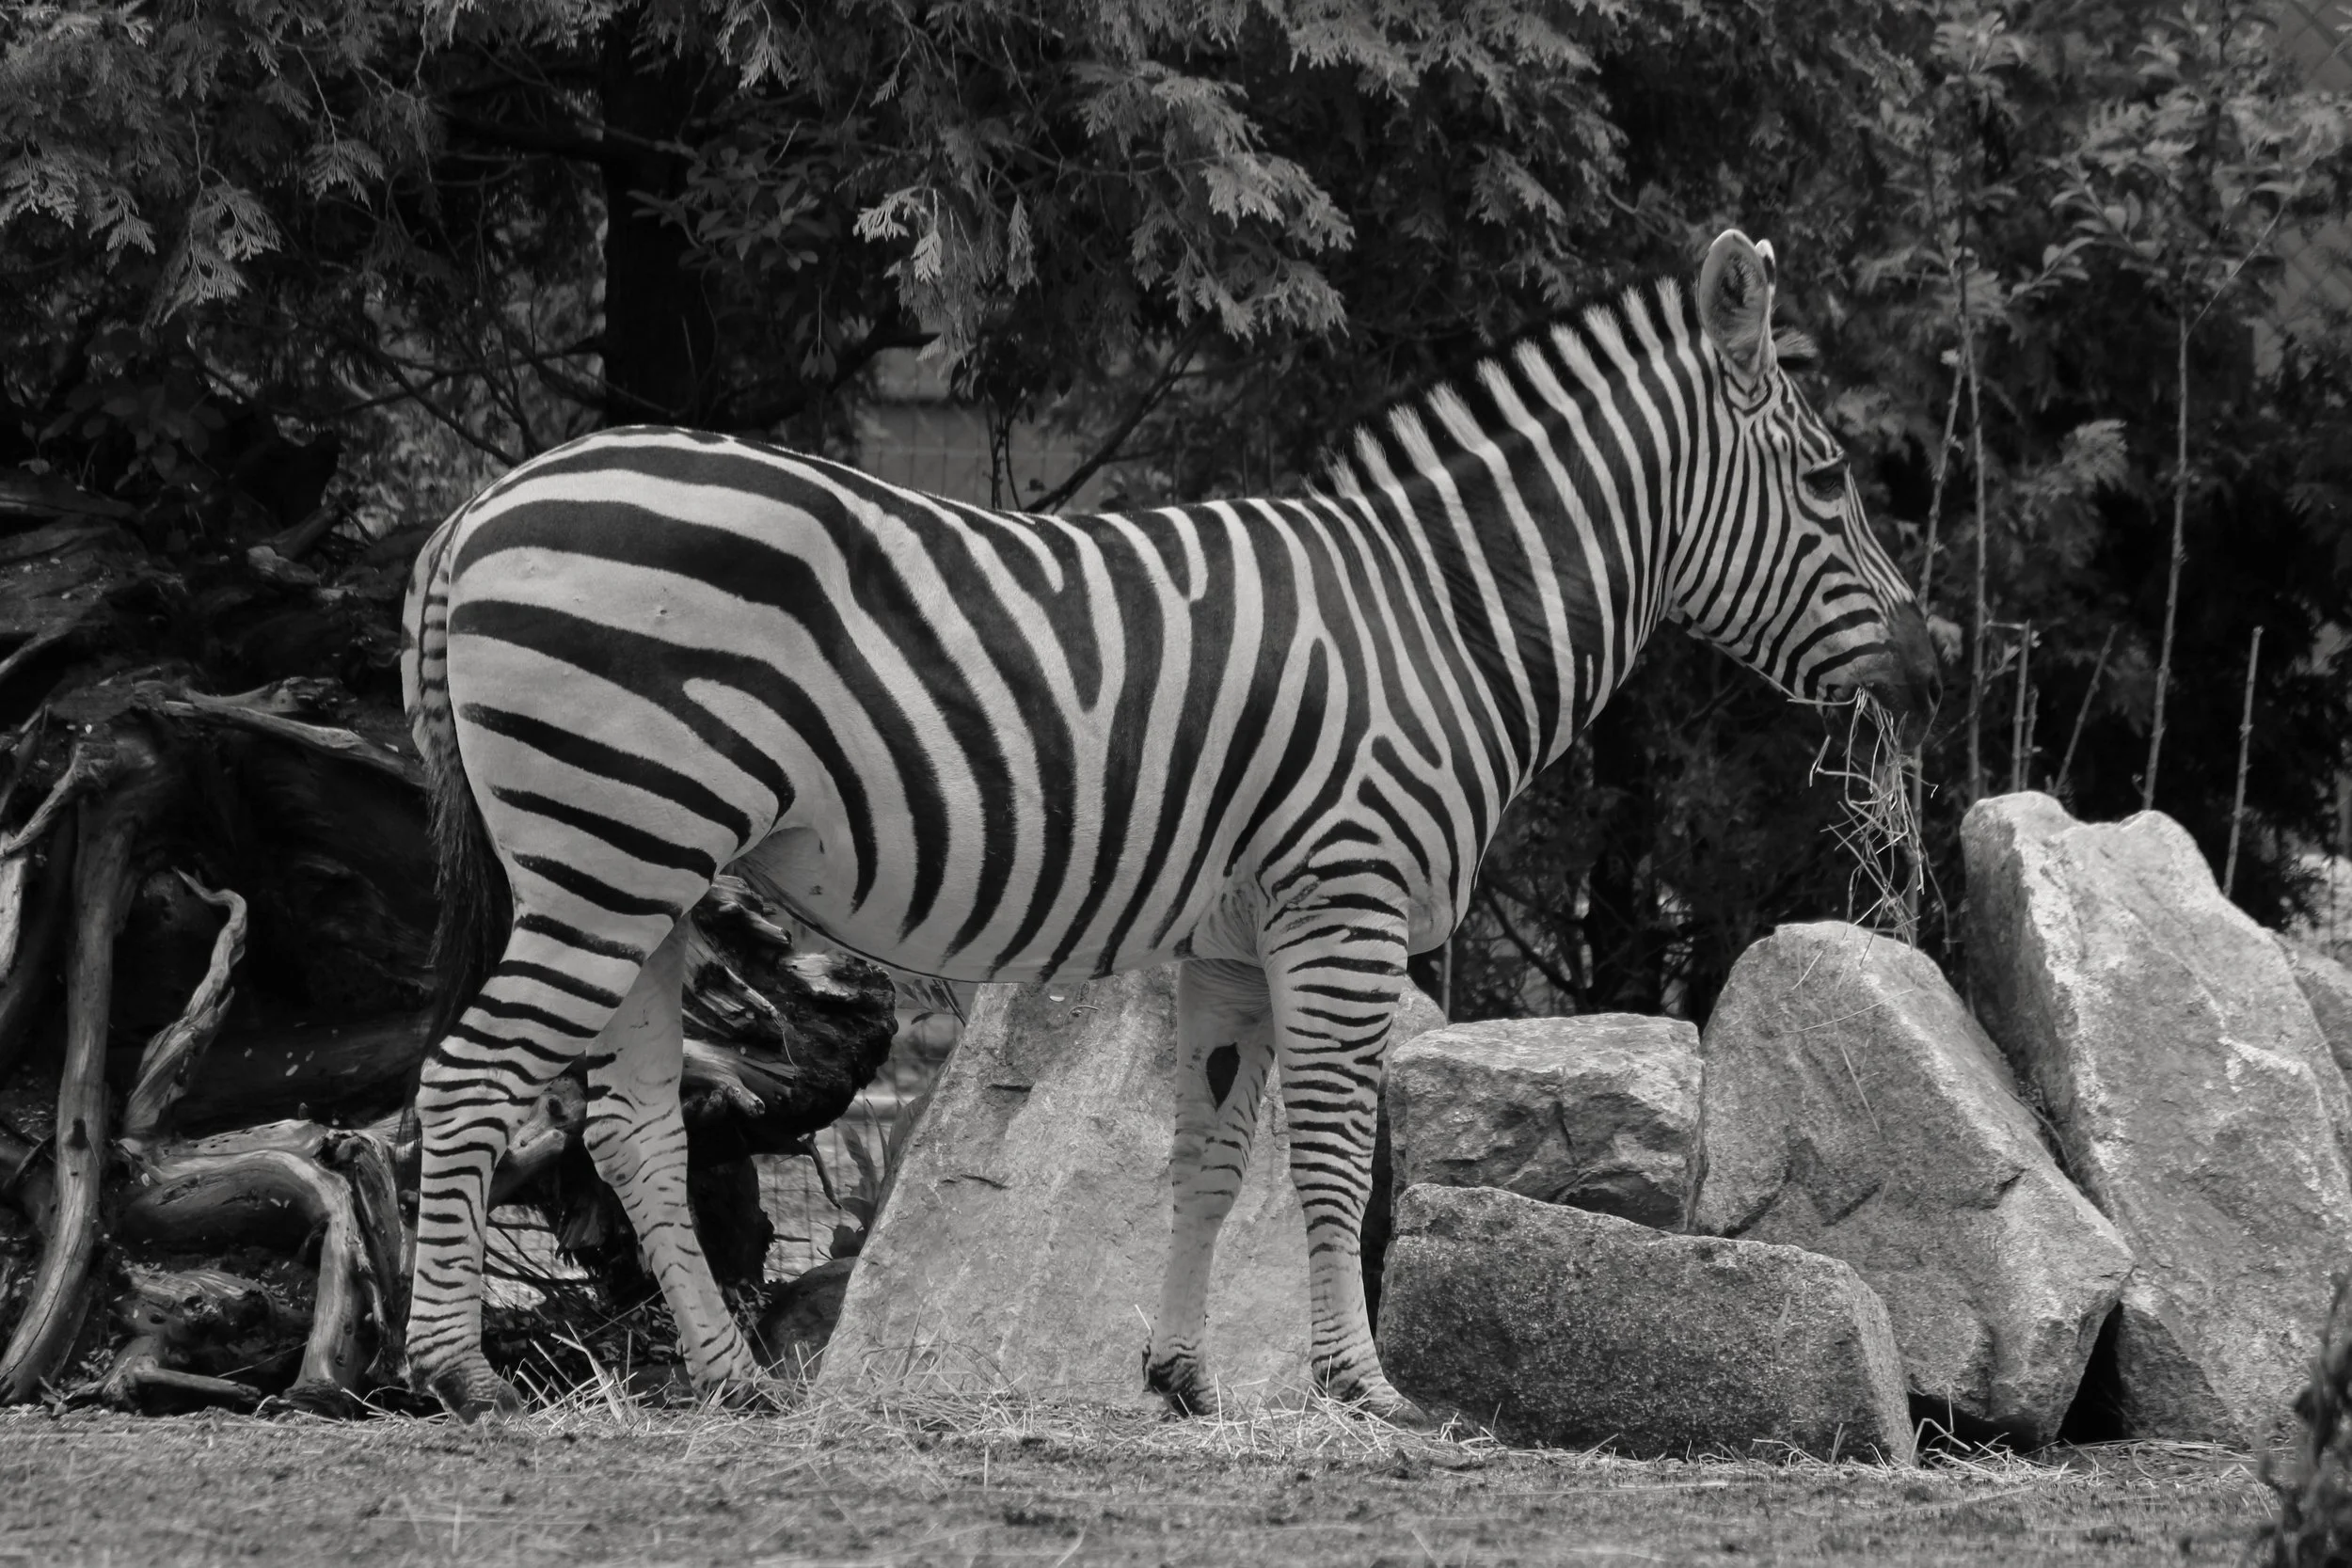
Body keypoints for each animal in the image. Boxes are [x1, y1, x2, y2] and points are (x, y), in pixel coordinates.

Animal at [398, 229, 1939, 1422]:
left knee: (633, 1127)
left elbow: (1206, 1161)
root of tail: (487, 502)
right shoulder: (1344, 901)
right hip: (610, 852)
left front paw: (1183, 1375)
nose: (1931, 665)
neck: (1434, 617)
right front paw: (1361, 1387)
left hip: (642, 871)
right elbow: (1330, 1153)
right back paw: (455, 1375)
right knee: (465, 1079)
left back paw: (725, 1377)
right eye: (1828, 480)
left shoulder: (1236, 941)